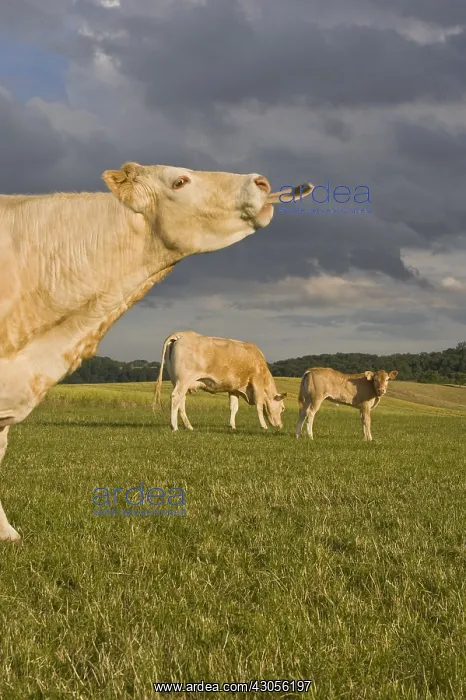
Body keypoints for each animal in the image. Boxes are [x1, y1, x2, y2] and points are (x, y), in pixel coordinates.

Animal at [152, 331, 287, 431]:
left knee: (181, 402)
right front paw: (264, 426)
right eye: (282, 408)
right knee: (176, 398)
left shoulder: (234, 389)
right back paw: (174, 426)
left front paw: (233, 426)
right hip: (183, 381)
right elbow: (259, 406)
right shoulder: (257, 384)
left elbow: (234, 407)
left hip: (178, 382)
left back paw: (188, 426)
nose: (281, 425)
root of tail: (182, 334)